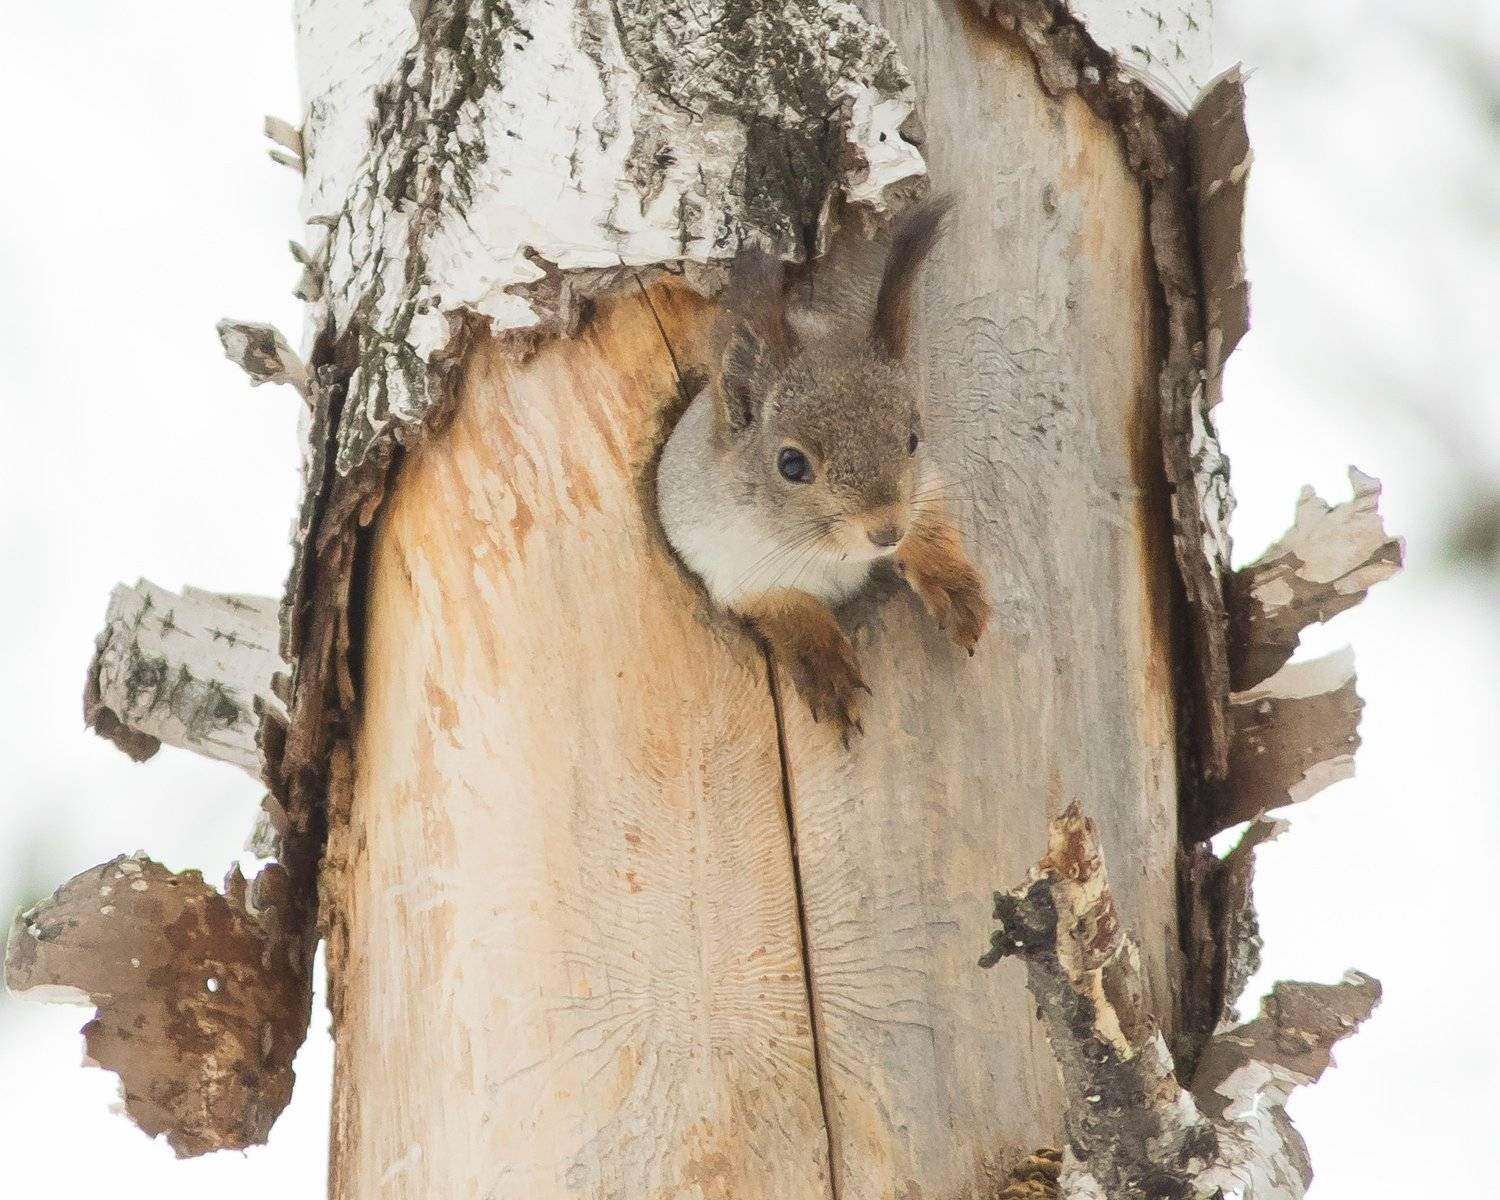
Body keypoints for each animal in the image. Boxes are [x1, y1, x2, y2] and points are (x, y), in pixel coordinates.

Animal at [656, 197, 991, 738]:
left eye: (912, 439)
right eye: (791, 464)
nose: (885, 531)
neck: (829, 555)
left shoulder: (924, 486)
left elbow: (930, 525)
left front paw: (955, 590)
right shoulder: (727, 564)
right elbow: (787, 611)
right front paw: (827, 672)